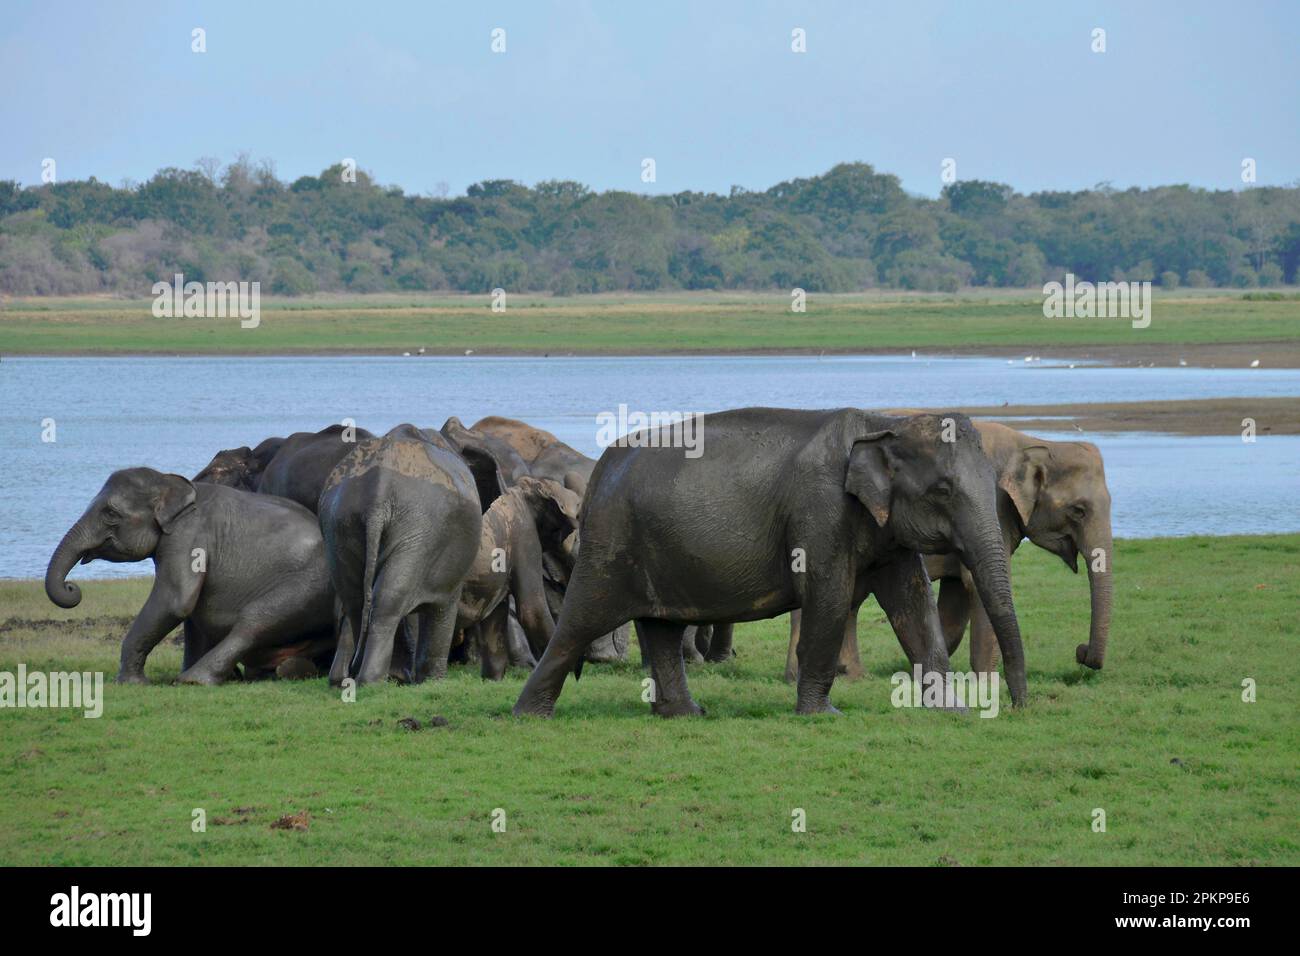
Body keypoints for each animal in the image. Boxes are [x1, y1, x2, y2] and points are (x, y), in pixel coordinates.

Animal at [47, 468, 335, 686]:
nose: (72, 587)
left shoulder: (189, 536)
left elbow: (175, 601)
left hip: (309, 585)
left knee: (255, 620)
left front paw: (132, 683)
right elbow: (192, 614)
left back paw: (195, 679)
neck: (171, 481)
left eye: (110, 514)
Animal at [317, 421, 499, 686]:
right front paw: (432, 682)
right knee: (387, 601)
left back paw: (358, 677)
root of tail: (378, 495)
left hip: (341, 527)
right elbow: (443, 605)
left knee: (357, 599)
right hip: (417, 529)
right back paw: (371, 680)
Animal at [512, 408, 1029, 723]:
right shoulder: (820, 512)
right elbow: (829, 597)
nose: (1018, 708)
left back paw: (686, 715)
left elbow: (913, 602)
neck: (884, 422)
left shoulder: (885, 528)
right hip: (610, 544)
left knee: (661, 629)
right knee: (582, 620)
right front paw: (823, 716)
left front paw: (952, 712)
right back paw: (530, 715)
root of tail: (598, 468)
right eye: (943, 490)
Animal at [785, 418, 1112, 681]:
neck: (1032, 443)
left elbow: (955, 602)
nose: (1080, 652)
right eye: (1079, 510)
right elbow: (976, 586)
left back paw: (851, 675)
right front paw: (986, 682)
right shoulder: (990, 507)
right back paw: (802, 676)